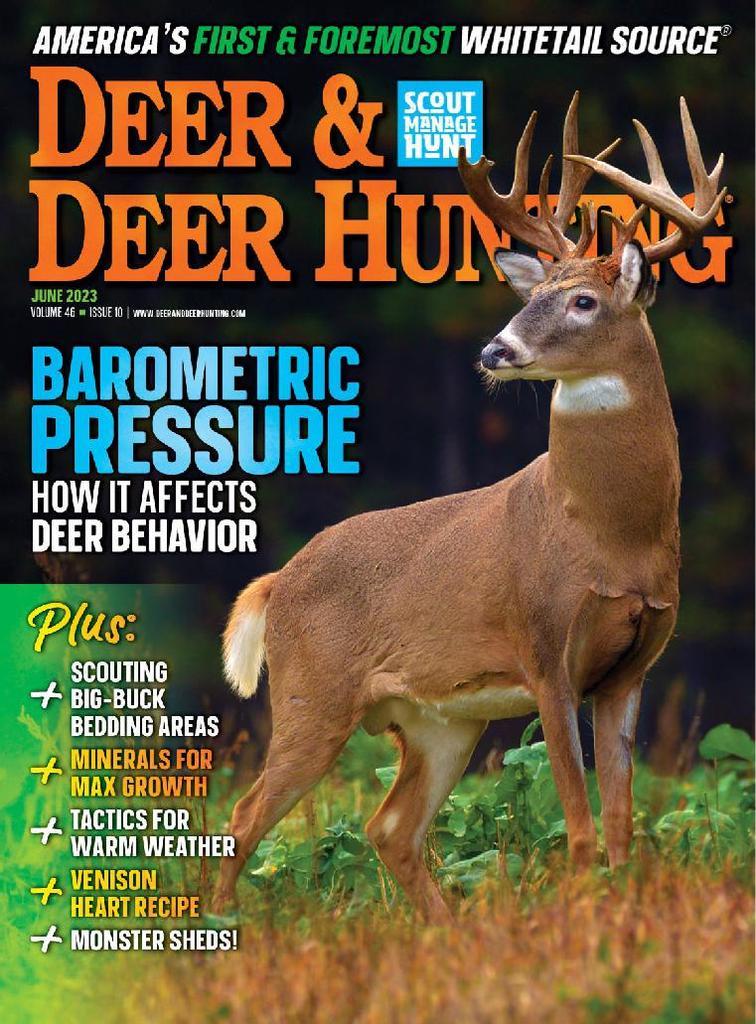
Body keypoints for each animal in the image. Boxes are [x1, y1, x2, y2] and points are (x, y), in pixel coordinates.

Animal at [212, 93, 726, 923]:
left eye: (583, 300)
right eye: (533, 297)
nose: (494, 351)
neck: (609, 533)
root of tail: (276, 582)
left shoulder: (633, 665)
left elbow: (622, 824)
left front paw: (619, 915)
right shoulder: (545, 647)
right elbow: (580, 822)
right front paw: (583, 914)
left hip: (441, 720)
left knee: (389, 826)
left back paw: (446, 932)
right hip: (308, 692)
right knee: (244, 815)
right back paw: (224, 925)